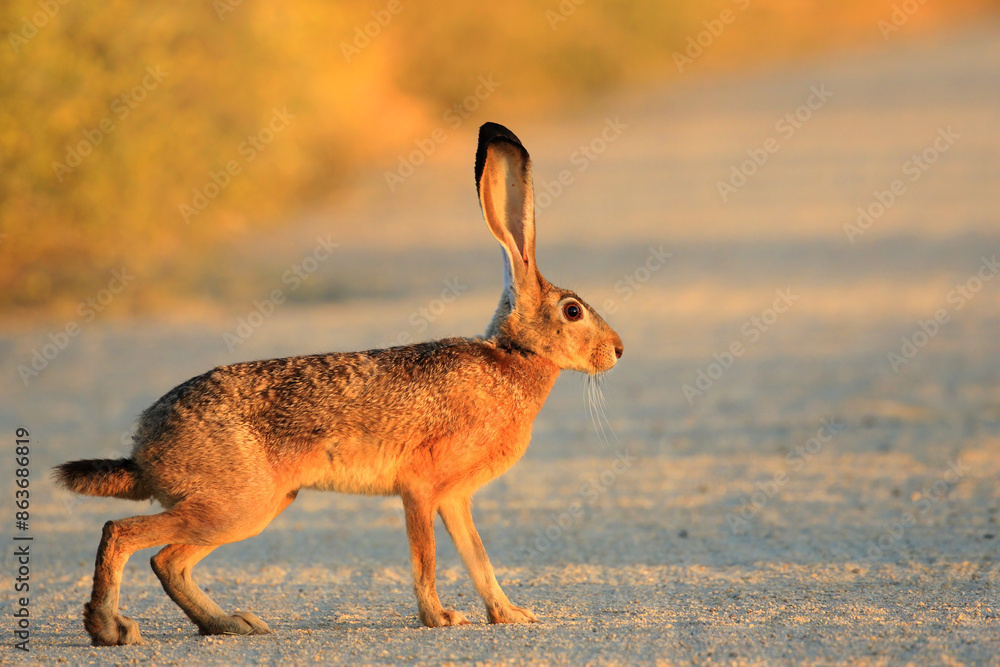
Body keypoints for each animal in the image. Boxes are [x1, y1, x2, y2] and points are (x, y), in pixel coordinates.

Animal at [53, 121, 624, 646]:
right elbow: (427, 558)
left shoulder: (455, 497)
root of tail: (145, 447)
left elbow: (478, 557)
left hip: (257, 505)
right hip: (235, 505)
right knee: (123, 535)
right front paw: (440, 618)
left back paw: (231, 624)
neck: (512, 358)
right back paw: (112, 629)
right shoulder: (421, 487)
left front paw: (510, 615)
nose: (618, 350)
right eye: (573, 311)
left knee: (168, 562)